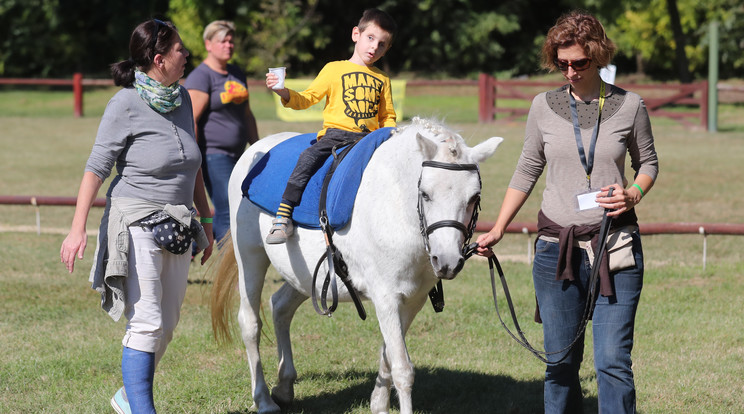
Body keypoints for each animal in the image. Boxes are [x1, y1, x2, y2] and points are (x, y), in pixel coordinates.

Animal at [212, 117, 502, 414]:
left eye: (474, 197)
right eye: (425, 194)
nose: (447, 261)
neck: (397, 206)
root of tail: (256, 151)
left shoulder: (413, 300)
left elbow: (388, 356)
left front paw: (378, 403)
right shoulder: (386, 298)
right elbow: (402, 369)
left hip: (305, 276)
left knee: (280, 306)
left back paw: (283, 386)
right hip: (250, 257)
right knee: (250, 323)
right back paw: (263, 400)